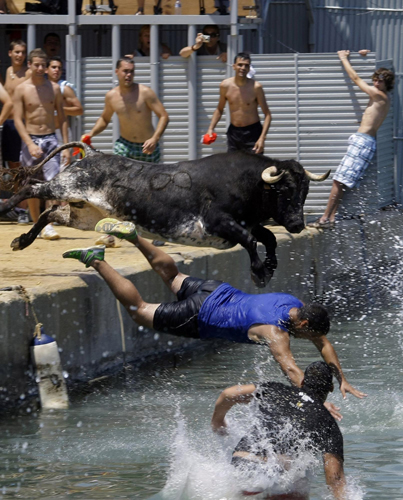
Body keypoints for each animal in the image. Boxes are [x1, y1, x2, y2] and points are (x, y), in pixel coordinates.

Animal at [0, 143, 332, 288]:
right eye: (284, 190)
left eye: (304, 191)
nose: (297, 224)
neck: (247, 182)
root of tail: (91, 154)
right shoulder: (219, 222)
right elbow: (252, 241)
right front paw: (260, 272)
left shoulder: (242, 225)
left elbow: (268, 239)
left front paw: (269, 267)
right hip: (65, 186)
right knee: (31, 187)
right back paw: (6, 210)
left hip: (84, 213)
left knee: (51, 213)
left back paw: (22, 240)